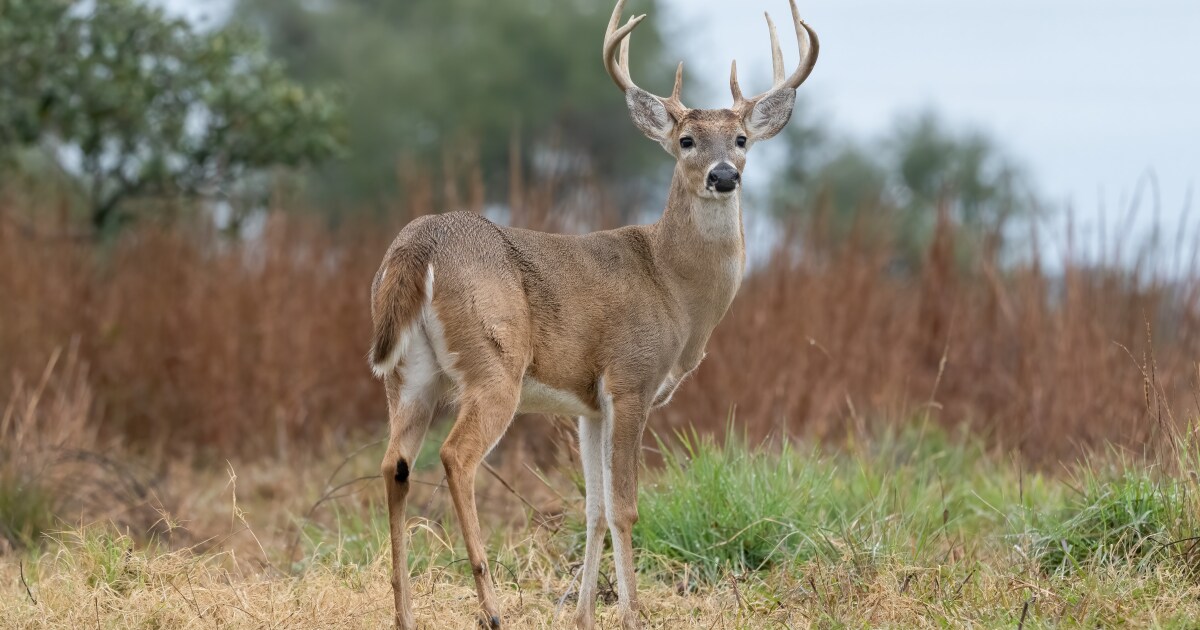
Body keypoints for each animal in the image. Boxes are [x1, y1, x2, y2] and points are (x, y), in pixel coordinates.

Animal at [367, 1, 818, 627]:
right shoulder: (630, 380)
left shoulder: (588, 406)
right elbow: (626, 506)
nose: (724, 175)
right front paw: (632, 612)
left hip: (406, 375)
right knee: (455, 456)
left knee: (395, 464)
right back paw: (492, 608)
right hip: (493, 363)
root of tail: (418, 245)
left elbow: (594, 507)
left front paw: (584, 614)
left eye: (742, 138)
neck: (673, 287)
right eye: (686, 140)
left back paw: (405, 613)